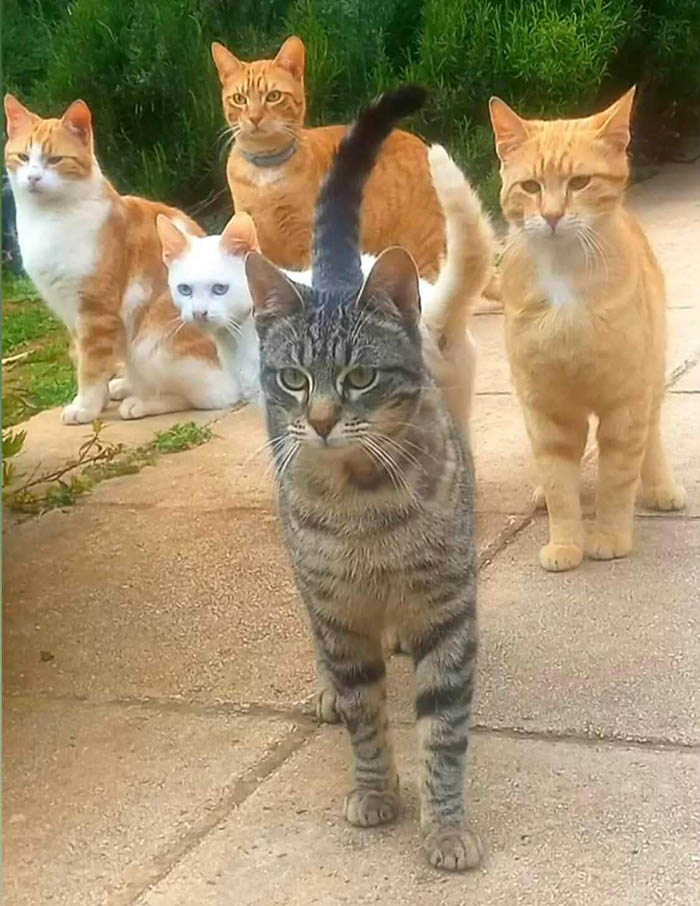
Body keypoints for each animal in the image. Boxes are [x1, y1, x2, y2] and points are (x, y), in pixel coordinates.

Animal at [4, 94, 240, 422]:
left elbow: (90, 366)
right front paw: (99, 400)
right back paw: (125, 385)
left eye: (55, 160)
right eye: (23, 157)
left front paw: (85, 407)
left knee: (212, 395)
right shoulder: (72, 315)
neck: (47, 219)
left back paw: (141, 402)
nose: (33, 178)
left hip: (151, 344)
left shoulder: (95, 311)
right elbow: (86, 359)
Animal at [242, 85, 483, 872]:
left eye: (359, 377)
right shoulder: (339, 615)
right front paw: (377, 792)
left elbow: (443, 731)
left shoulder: (446, 607)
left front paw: (445, 826)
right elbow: (365, 719)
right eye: (293, 378)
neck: (362, 503)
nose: (319, 420)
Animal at [489, 87, 686, 572]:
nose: (553, 216)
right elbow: (560, 483)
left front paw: (611, 537)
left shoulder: (624, 404)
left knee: (651, 436)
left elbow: (616, 479)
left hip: (651, 376)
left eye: (580, 182)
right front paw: (565, 543)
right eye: (531, 187)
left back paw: (659, 487)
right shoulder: (546, 409)